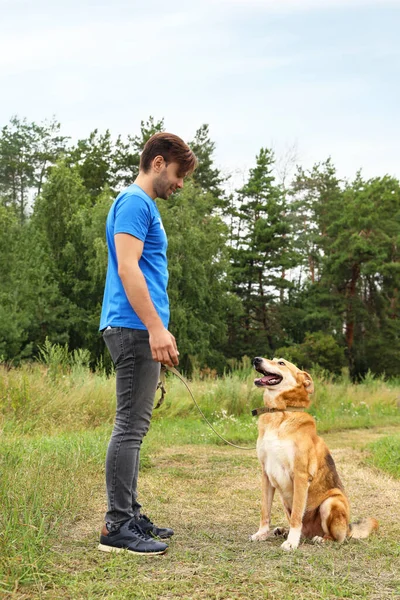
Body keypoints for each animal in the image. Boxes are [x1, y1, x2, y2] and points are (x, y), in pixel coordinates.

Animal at [250, 358, 378, 552]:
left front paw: (291, 543)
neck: (280, 413)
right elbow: (265, 511)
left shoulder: (300, 475)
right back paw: (283, 531)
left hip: (331, 502)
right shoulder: (266, 474)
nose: (256, 359)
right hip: (285, 500)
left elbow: (297, 516)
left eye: (281, 363)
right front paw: (261, 534)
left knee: (338, 538)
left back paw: (321, 539)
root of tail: (349, 528)